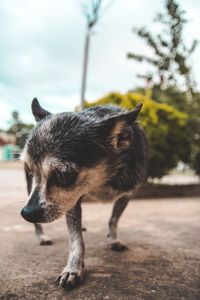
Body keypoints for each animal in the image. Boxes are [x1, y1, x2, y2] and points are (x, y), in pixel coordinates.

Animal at [20, 99, 148, 290]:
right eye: (29, 170)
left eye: (63, 174)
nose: (26, 213)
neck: (103, 181)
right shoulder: (72, 203)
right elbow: (76, 240)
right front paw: (73, 268)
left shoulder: (126, 195)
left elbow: (113, 220)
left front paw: (113, 239)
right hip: (31, 190)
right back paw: (42, 236)